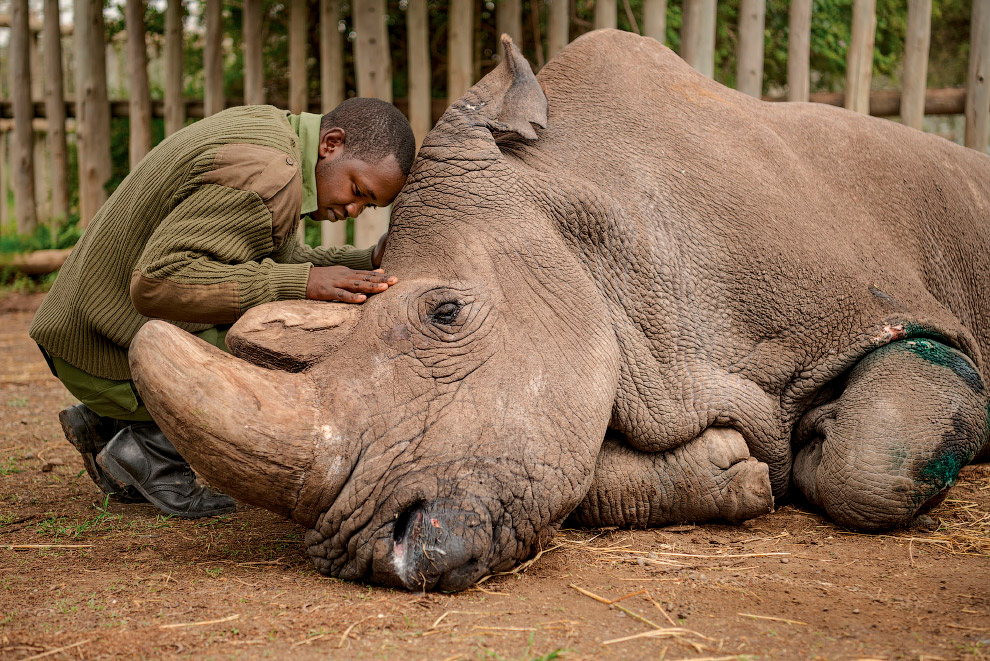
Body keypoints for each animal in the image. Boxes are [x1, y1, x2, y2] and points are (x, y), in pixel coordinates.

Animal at [130, 28, 990, 592]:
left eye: (446, 313)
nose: (371, 553)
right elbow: (577, 471)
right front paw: (737, 470)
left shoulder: (882, 315)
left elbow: (870, 461)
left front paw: (816, 443)